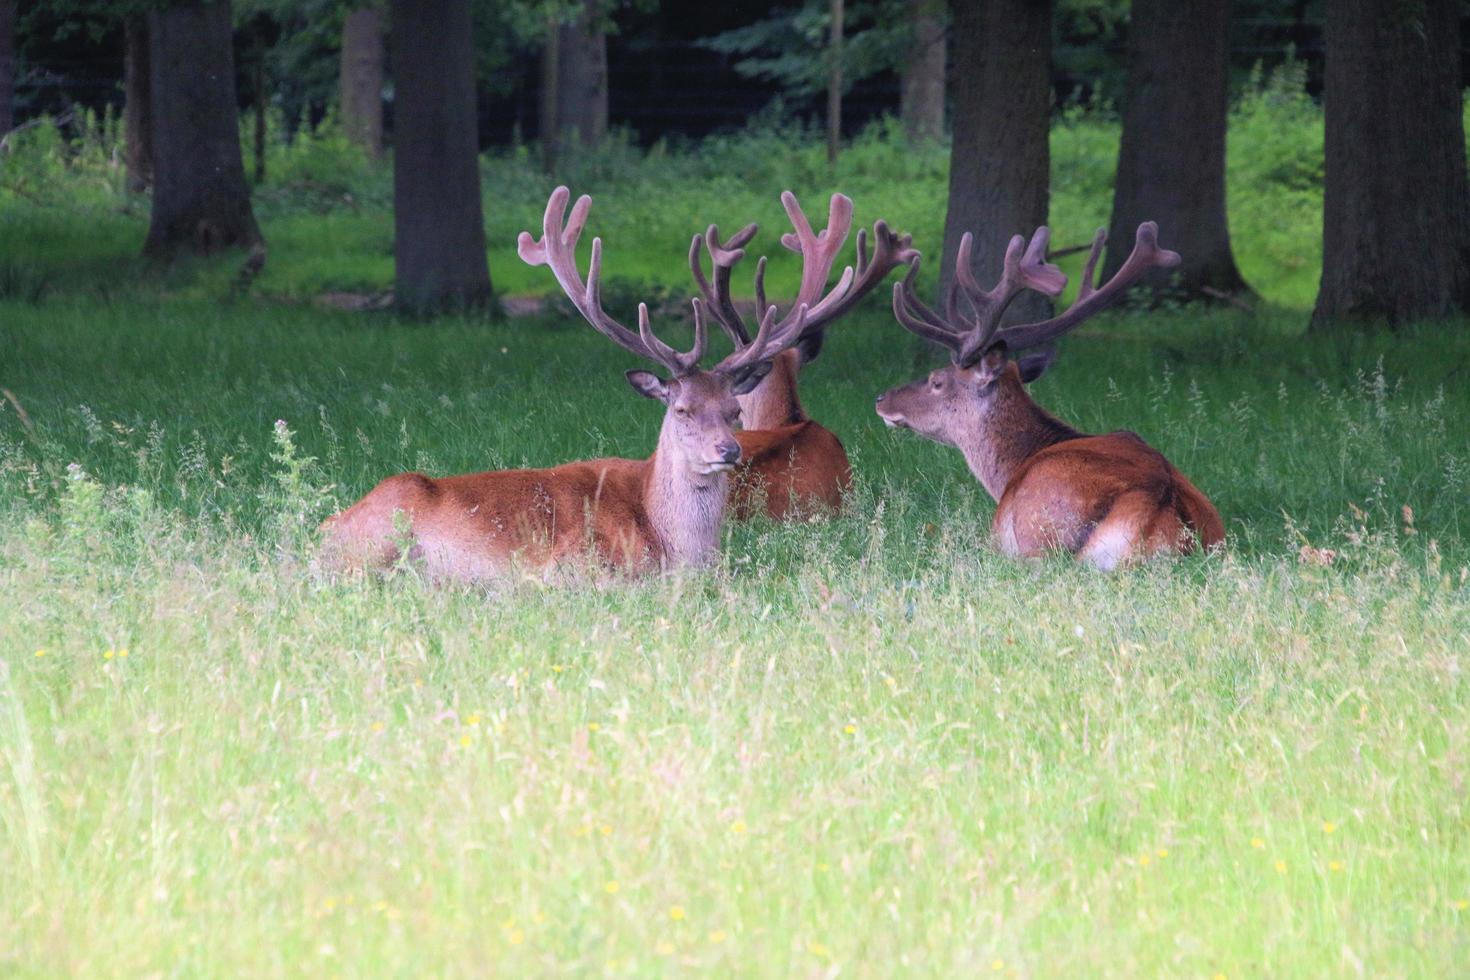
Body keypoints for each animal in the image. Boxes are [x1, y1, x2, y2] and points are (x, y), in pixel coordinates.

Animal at [318, 188, 829, 578]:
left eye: (734, 410)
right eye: (681, 408)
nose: (728, 450)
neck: (671, 543)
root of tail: (322, 531)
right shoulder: (573, 566)